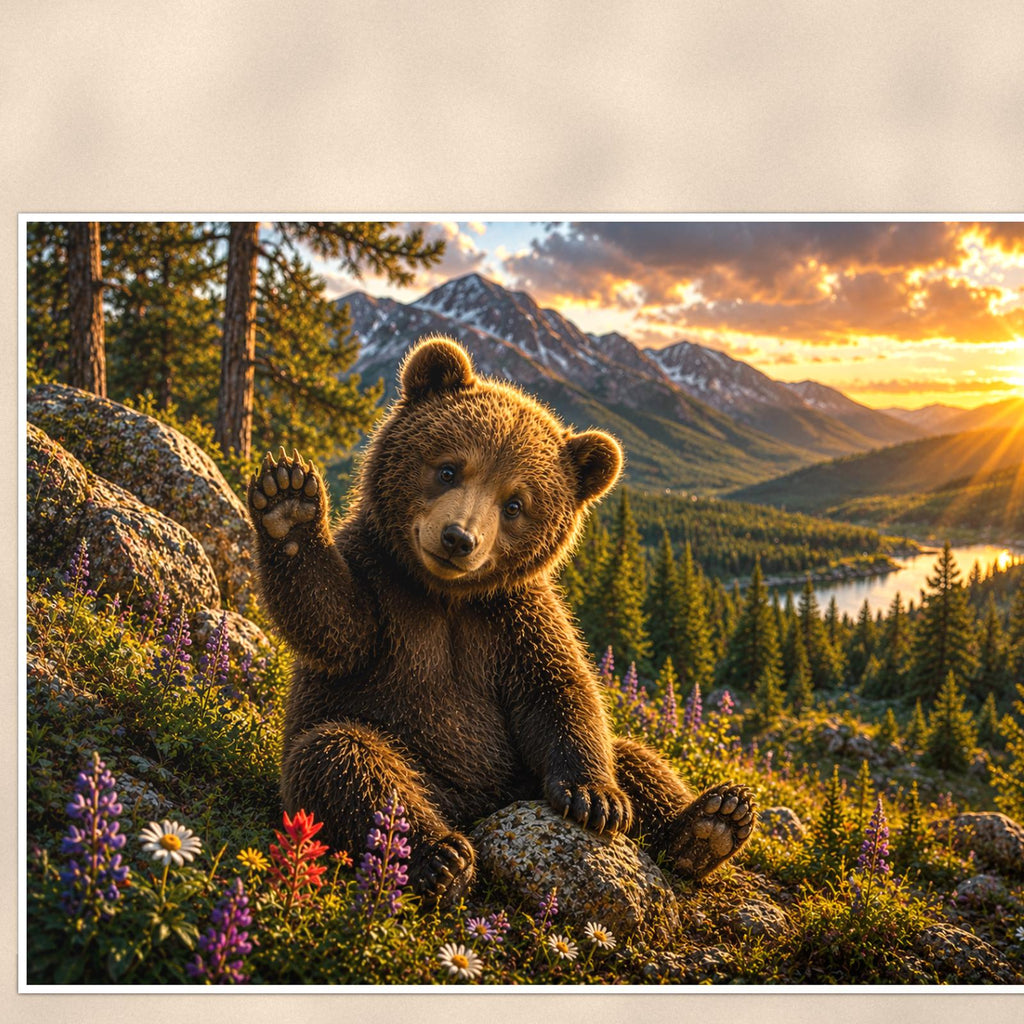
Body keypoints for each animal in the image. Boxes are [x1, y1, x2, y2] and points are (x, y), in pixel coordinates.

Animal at [247, 336, 755, 905]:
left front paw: (596, 799)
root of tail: (482, 809)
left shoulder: (513, 618)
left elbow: (561, 689)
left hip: (520, 774)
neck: (444, 594)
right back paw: (439, 857)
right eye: (448, 468)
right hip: (403, 769)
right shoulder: (383, 585)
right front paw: (288, 504)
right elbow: (336, 627)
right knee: (345, 763)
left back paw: (712, 822)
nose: (459, 538)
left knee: (633, 755)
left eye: (515, 503)